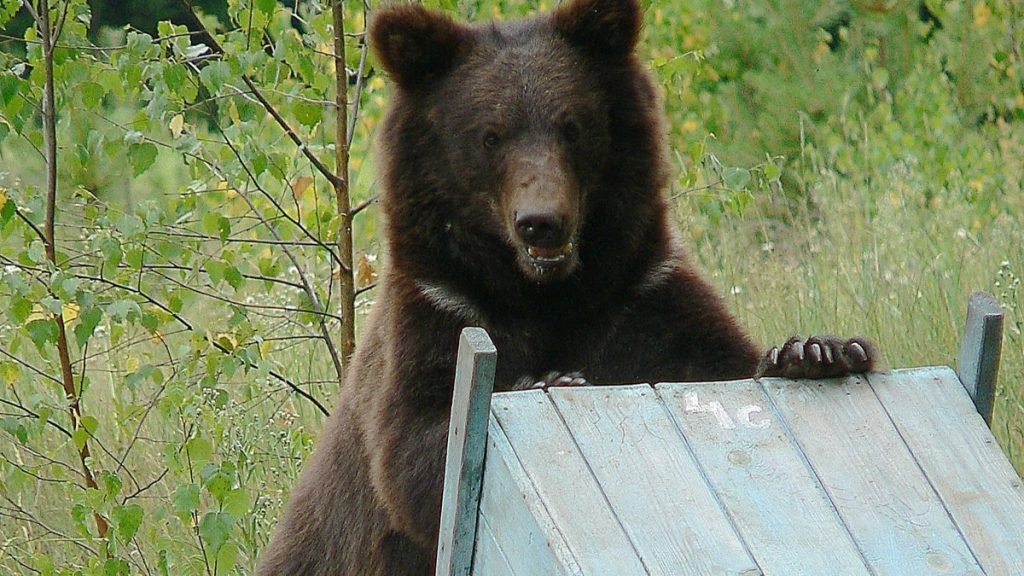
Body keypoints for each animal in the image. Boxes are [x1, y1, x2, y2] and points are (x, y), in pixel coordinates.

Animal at [256, 1, 872, 573]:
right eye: (490, 135)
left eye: (571, 124)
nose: (540, 222)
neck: (548, 295)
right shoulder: (443, 310)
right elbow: (420, 447)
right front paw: (550, 378)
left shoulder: (639, 296)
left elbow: (721, 362)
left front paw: (817, 350)